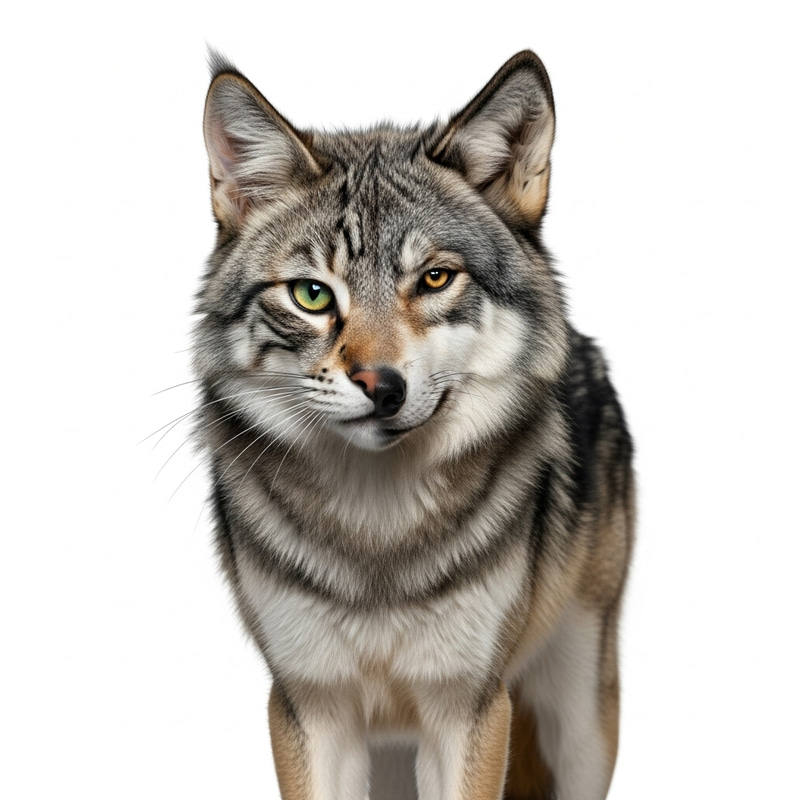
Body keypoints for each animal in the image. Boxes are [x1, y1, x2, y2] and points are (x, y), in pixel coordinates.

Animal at [193, 49, 634, 800]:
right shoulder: (309, 707)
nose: (381, 386)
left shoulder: (471, 710)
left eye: (433, 279)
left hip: (580, 720)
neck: (378, 536)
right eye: (312, 295)